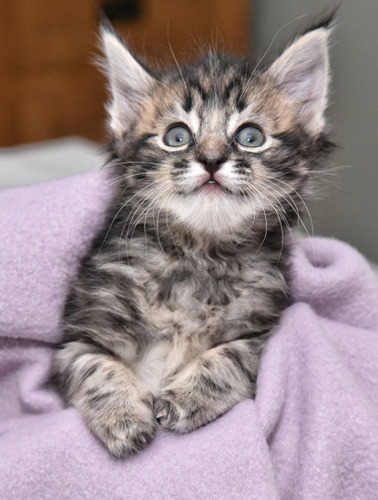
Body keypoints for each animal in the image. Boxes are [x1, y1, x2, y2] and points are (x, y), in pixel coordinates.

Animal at [52, 19, 334, 458]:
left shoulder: (264, 332)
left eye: (250, 137)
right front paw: (123, 417)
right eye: (177, 137)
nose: (212, 160)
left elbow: (232, 359)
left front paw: (187, 398)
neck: (199, 253)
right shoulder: (78, 337)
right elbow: (95, 368)